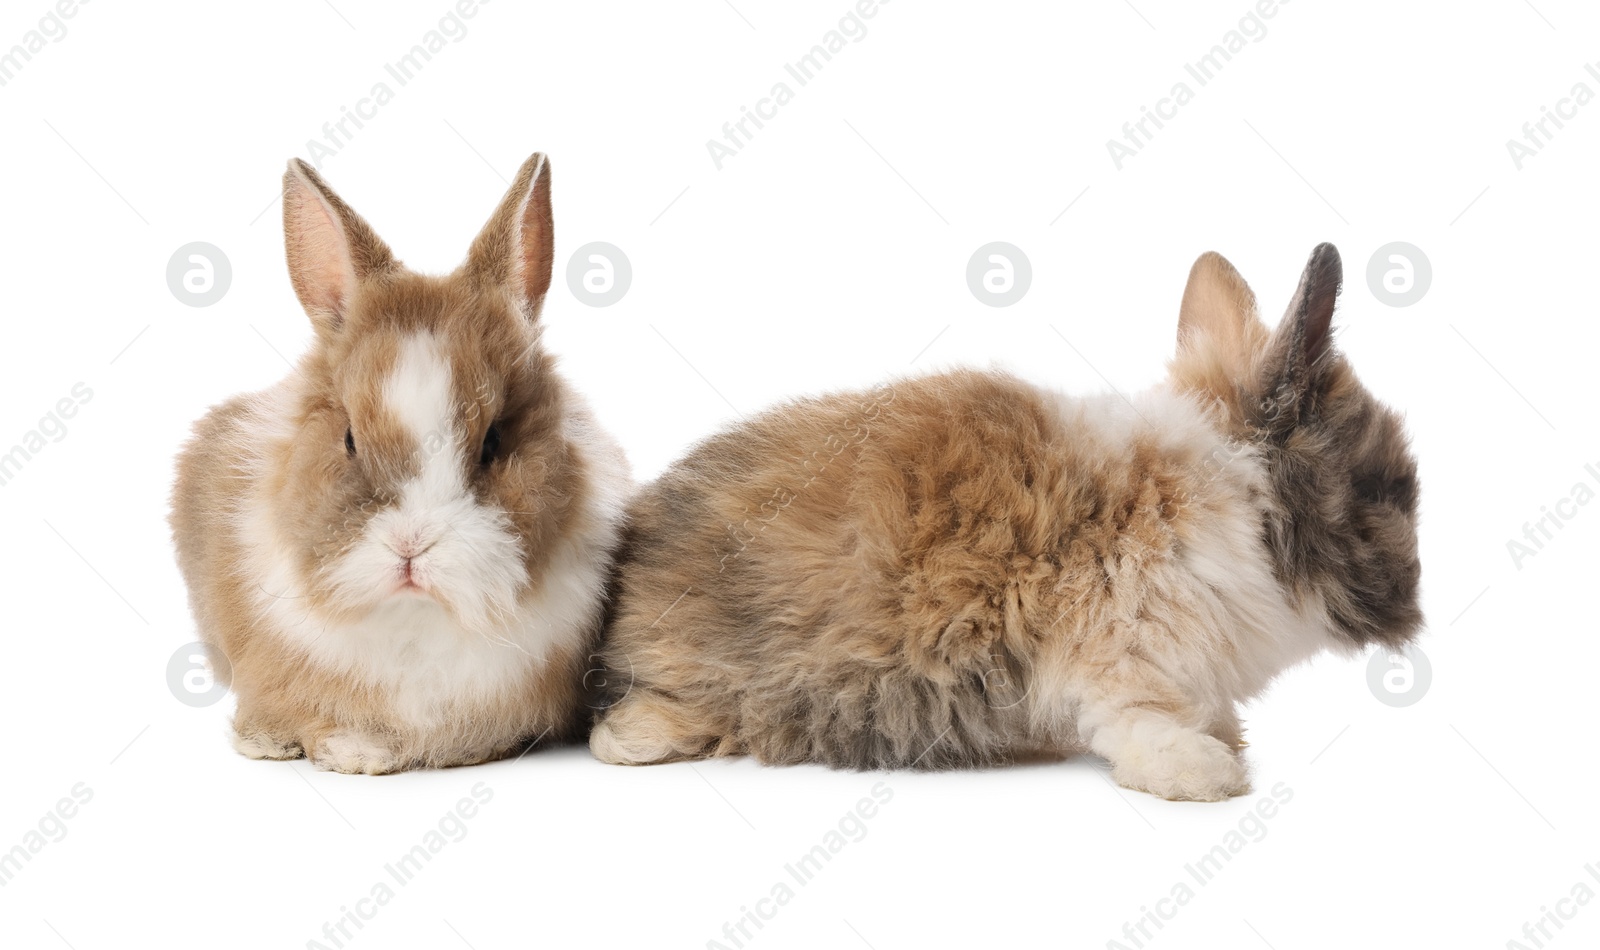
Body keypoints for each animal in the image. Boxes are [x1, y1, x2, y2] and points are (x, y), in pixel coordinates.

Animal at [595, 239, 1420, 796]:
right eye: (1384, 489)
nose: (1413, 589)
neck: (1227, 498)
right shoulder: (1120, 651)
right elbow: (1137, 718)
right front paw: (1206, 773)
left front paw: (1227, 743)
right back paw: (632, 741)